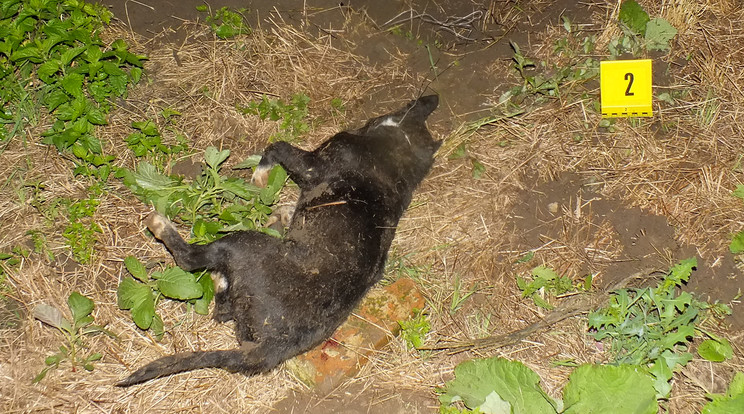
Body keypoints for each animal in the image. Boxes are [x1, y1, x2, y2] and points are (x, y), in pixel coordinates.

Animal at [118, 94, 438, 384]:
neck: (398, 154)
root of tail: (265, 349)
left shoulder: (312, 163)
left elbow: (276, 146)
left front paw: (259, 180)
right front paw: (279, 208)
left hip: (242, 243)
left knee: (190, 260)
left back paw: (160, 224)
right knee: (222, 306)